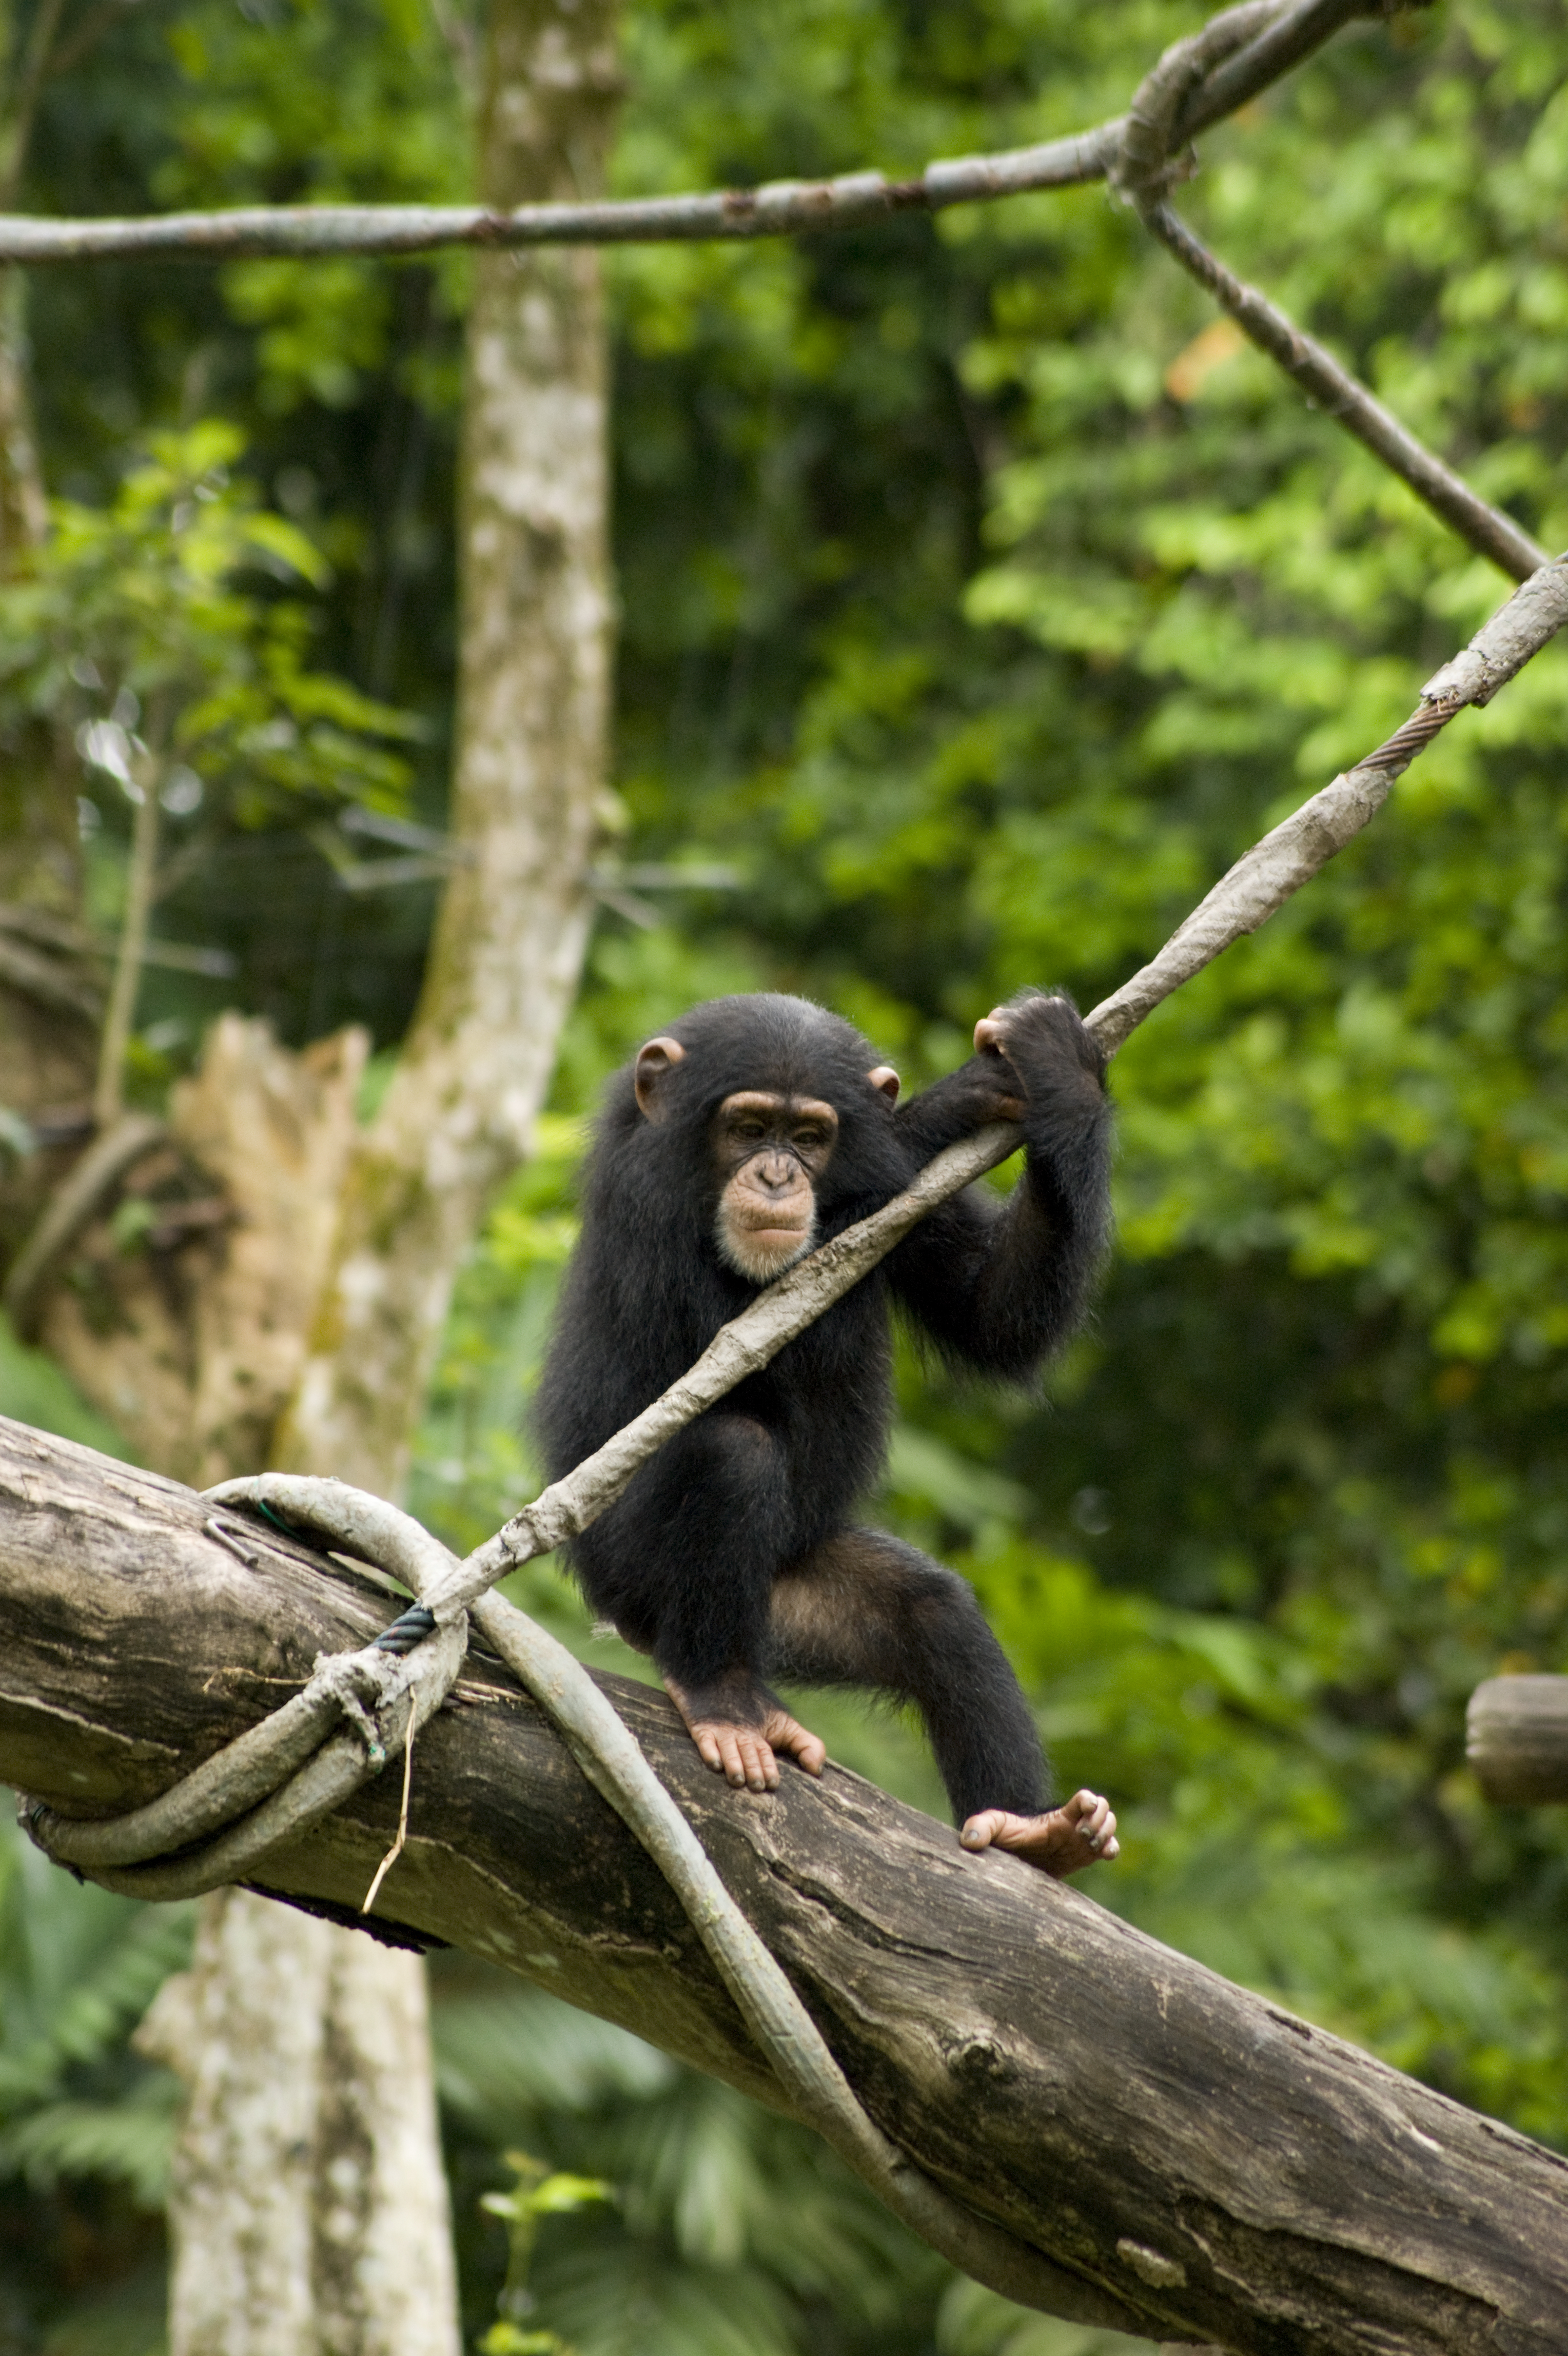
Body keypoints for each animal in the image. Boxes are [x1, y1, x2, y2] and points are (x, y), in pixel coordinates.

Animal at [536, 988, 1118, 1877]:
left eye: (809, 1137)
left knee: (934, 1612)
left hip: (796, 1603)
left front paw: (1055, 1073)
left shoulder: (929, 1225)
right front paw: (939, 1111)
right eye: (748, 1128)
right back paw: (724, 1701)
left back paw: (1033, 1829)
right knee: (732, 1454)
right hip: (630, 1572)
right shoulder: (645, 1203)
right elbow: (738, 1342)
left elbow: (994, 1314)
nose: (778, 1176)